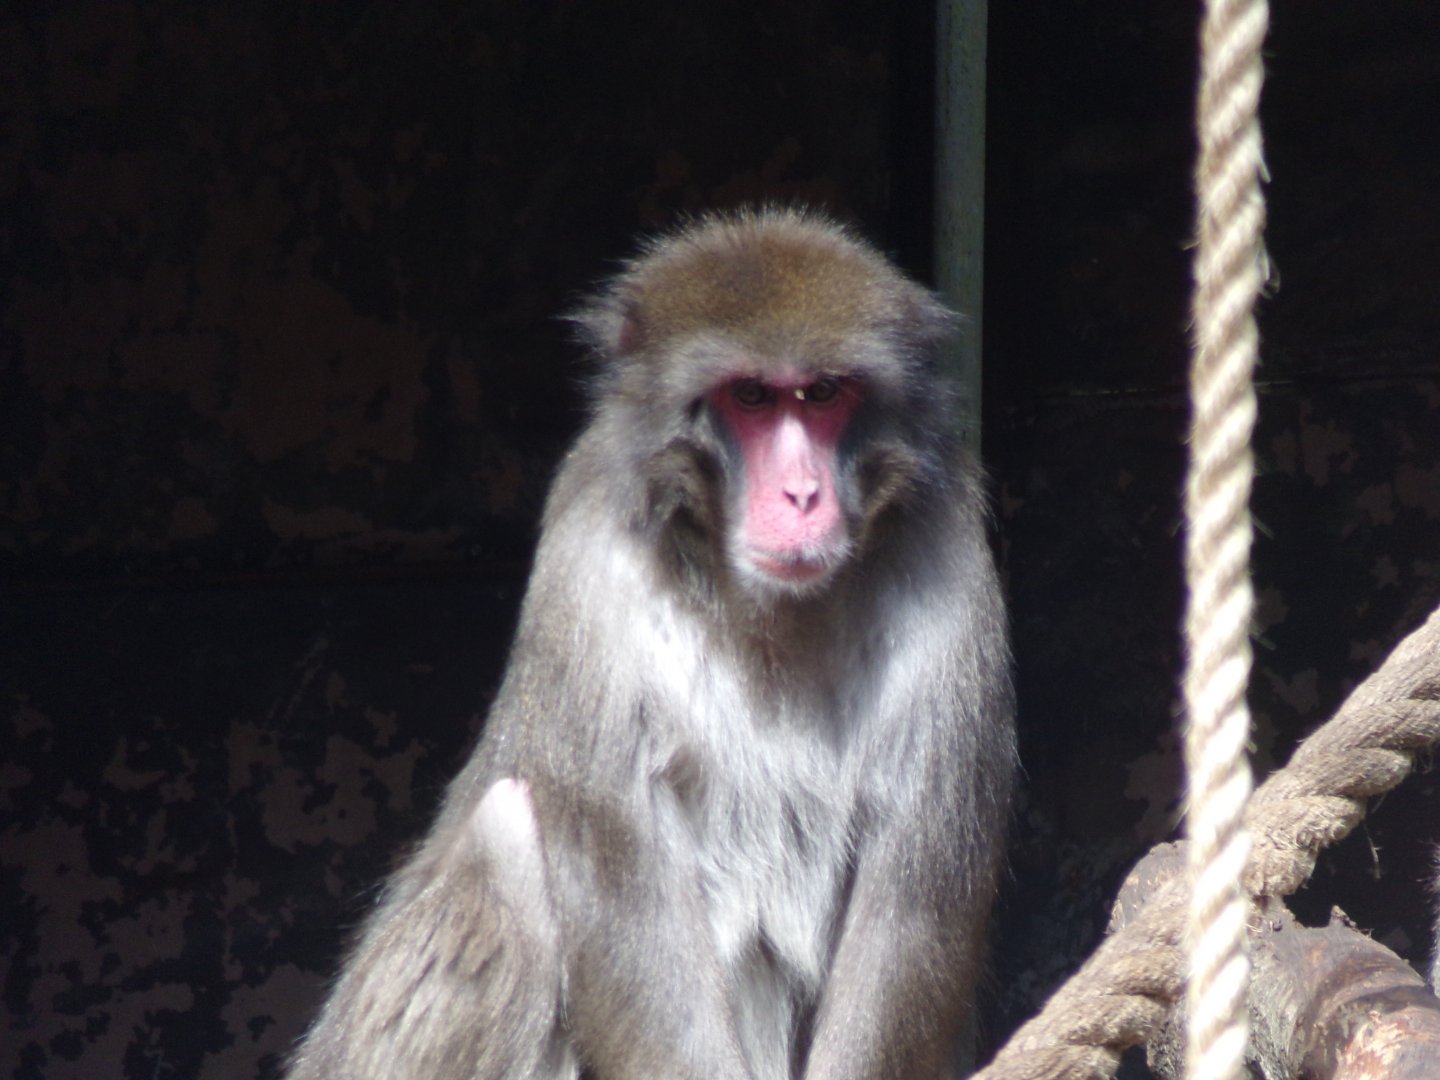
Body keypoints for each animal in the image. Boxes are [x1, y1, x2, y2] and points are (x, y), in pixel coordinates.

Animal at [287, 206, 1016, 1080]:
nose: (802, 495)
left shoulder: (950, 562)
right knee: (506, 841)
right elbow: (625, 901)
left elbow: (910, 906)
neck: (769, 610)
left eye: (821, 395)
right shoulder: (590, 563)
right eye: (751, 397)